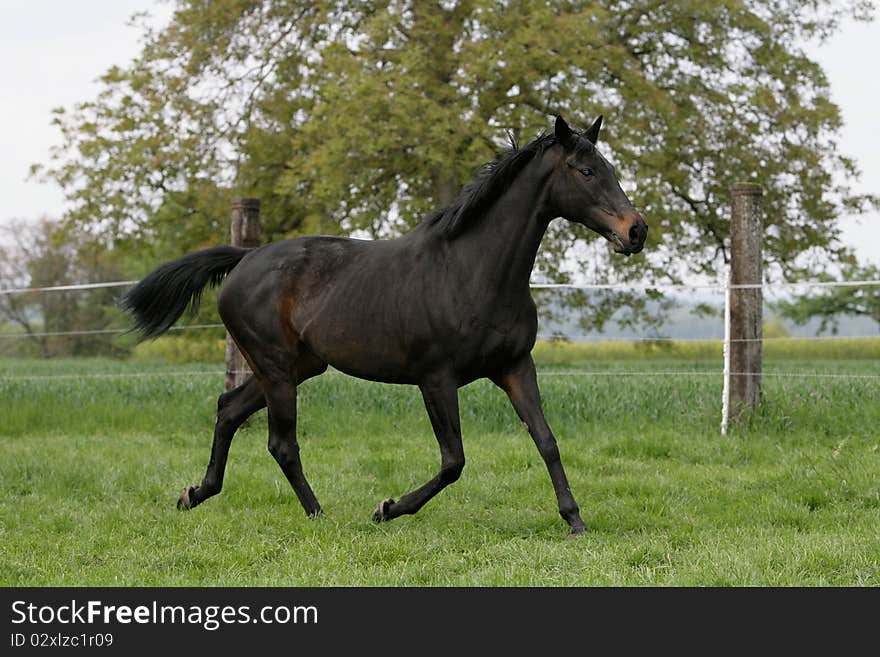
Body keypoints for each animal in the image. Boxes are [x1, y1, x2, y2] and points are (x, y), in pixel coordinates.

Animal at [122, 114, 648, 532]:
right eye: (585, 171)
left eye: (612, 169)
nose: (636, 231)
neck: (473, 271)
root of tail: (245, 258)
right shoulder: (436, 379)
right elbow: (454, 461)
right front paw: (387, 508)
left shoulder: (516, 367)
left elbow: (547, 440)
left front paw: (574, 520)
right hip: (277, 370)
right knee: (280, 442)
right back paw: (320, 515)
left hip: (296, 367)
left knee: (228, 409)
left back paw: (195, 494)